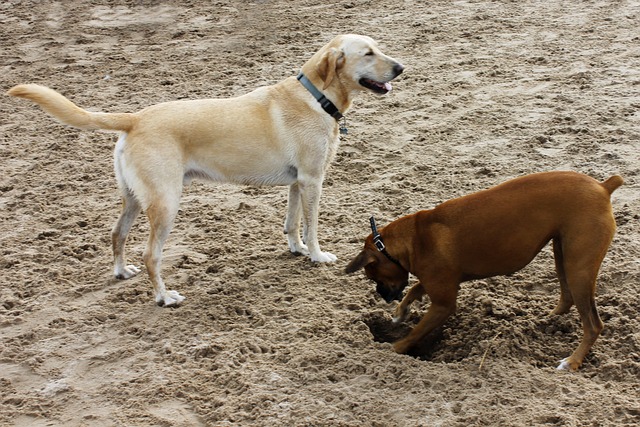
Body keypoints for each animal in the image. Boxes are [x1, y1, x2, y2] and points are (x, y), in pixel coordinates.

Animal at [7, 34, 402, 308]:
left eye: (378, 48)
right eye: (368, 53)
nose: (400, 68)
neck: (316, 96)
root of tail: (135, 119)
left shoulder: (297, 183)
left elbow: (292, 224)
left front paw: (298, 250)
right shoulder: (312, 181)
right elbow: (312, 225)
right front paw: (318, 255)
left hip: (133, 198)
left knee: (117, 234)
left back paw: (121, 272)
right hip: (166, 203)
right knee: (151, 256)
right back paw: (164, 297)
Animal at [348, 171, 624, 372]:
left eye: (372, 276)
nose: (382, 295)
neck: (415, 237)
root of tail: (602, 186)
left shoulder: (443, 305)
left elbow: (415, 332)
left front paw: (393, 347)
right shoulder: (437, 282)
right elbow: (415, 288)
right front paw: (399, 312)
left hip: (579, 268)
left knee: (593, 324)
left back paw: (572, 361)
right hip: (563, 254)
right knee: (566, 298)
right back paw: (548, 320)